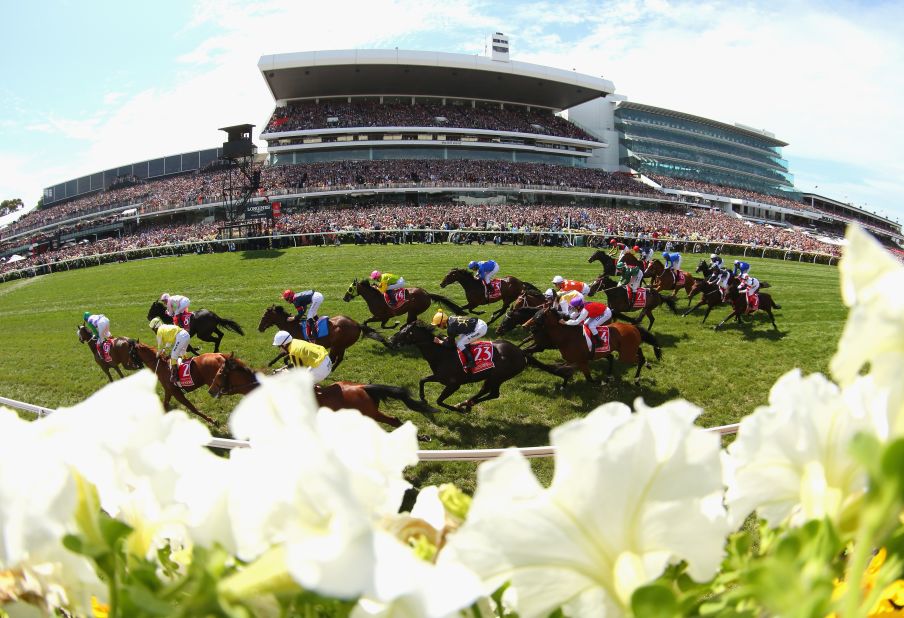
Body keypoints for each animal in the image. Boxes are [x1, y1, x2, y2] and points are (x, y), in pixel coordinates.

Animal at [258, 302, 392, 366]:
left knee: (333, 358)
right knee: (338, 359)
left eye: (264, 316)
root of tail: (357, 324)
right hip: (341, 346)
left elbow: (285, 356)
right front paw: (272, 363)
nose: (259, 328)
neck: (292, 326)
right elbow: (282, 355)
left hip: (337, 345)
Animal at [388, 320, 572, 412]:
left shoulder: (454, 384)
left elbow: (440, 401)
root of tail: (520, 352)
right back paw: (467, 402)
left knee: (492, 393)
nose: (390, 340)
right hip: (493, 376)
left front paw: (458, 410)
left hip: (498, 376)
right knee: (488, 392)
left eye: (404, 332)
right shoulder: (440, 377)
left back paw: (466, 404)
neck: (441, 354)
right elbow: (422, 380)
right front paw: (422, 397)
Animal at [520, 304, 660, 384]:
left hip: (626, 355)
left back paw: (637, 377)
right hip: (626, 350)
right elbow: (565, 371)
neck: (566, 336)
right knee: (636, 353)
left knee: (639, 359)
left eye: (538, 317)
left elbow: (588, 378)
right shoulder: (572, 360)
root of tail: (633, 327)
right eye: (534, 315)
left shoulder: (581, 361)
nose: (528, 328)